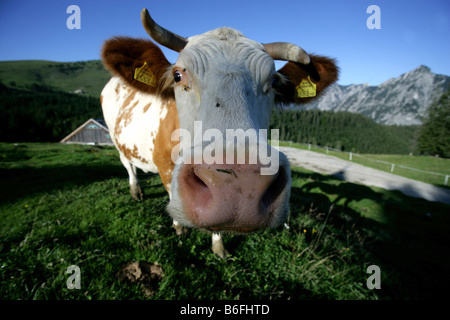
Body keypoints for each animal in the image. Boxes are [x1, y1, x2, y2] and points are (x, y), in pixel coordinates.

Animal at [99, 8, 338, 258]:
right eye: (177, 75)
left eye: (274, 82)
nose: (240, 187)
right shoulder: (164, 164)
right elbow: (172, 194)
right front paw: (179, 228)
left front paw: (219, 246)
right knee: (127, 163)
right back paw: (136, 191)